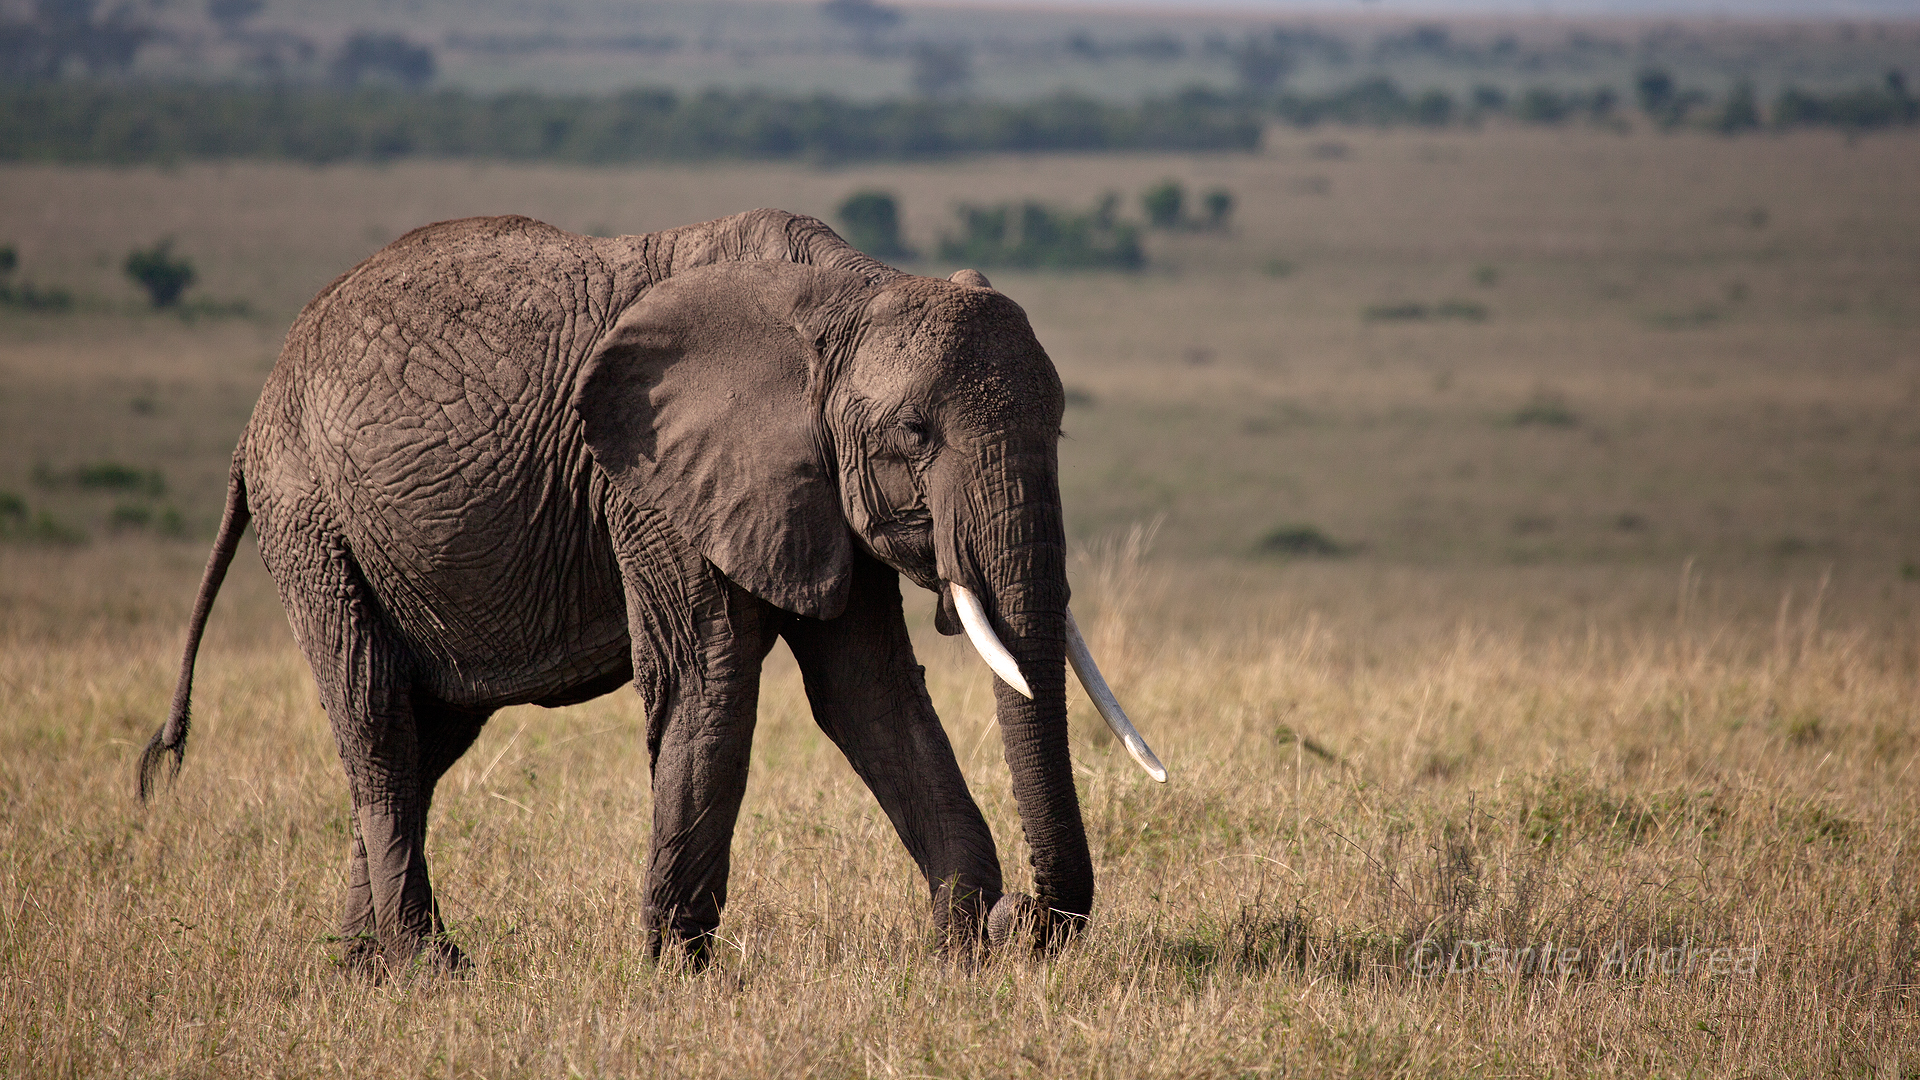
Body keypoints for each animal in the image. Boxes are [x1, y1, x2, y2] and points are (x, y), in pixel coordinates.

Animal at [137, 209, 1164, 975]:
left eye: (1060, 430)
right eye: (914, 433)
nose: (1023, 918)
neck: (845, 292)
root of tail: (258, 412)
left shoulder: (809, 484)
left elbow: (868, 693)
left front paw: (959, 953)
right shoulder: (654, 483)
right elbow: (710, 683)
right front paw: (674, 970)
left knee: (426, 739)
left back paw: (362, 967)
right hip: (311, 519)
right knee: (379, 722)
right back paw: (432, 968)